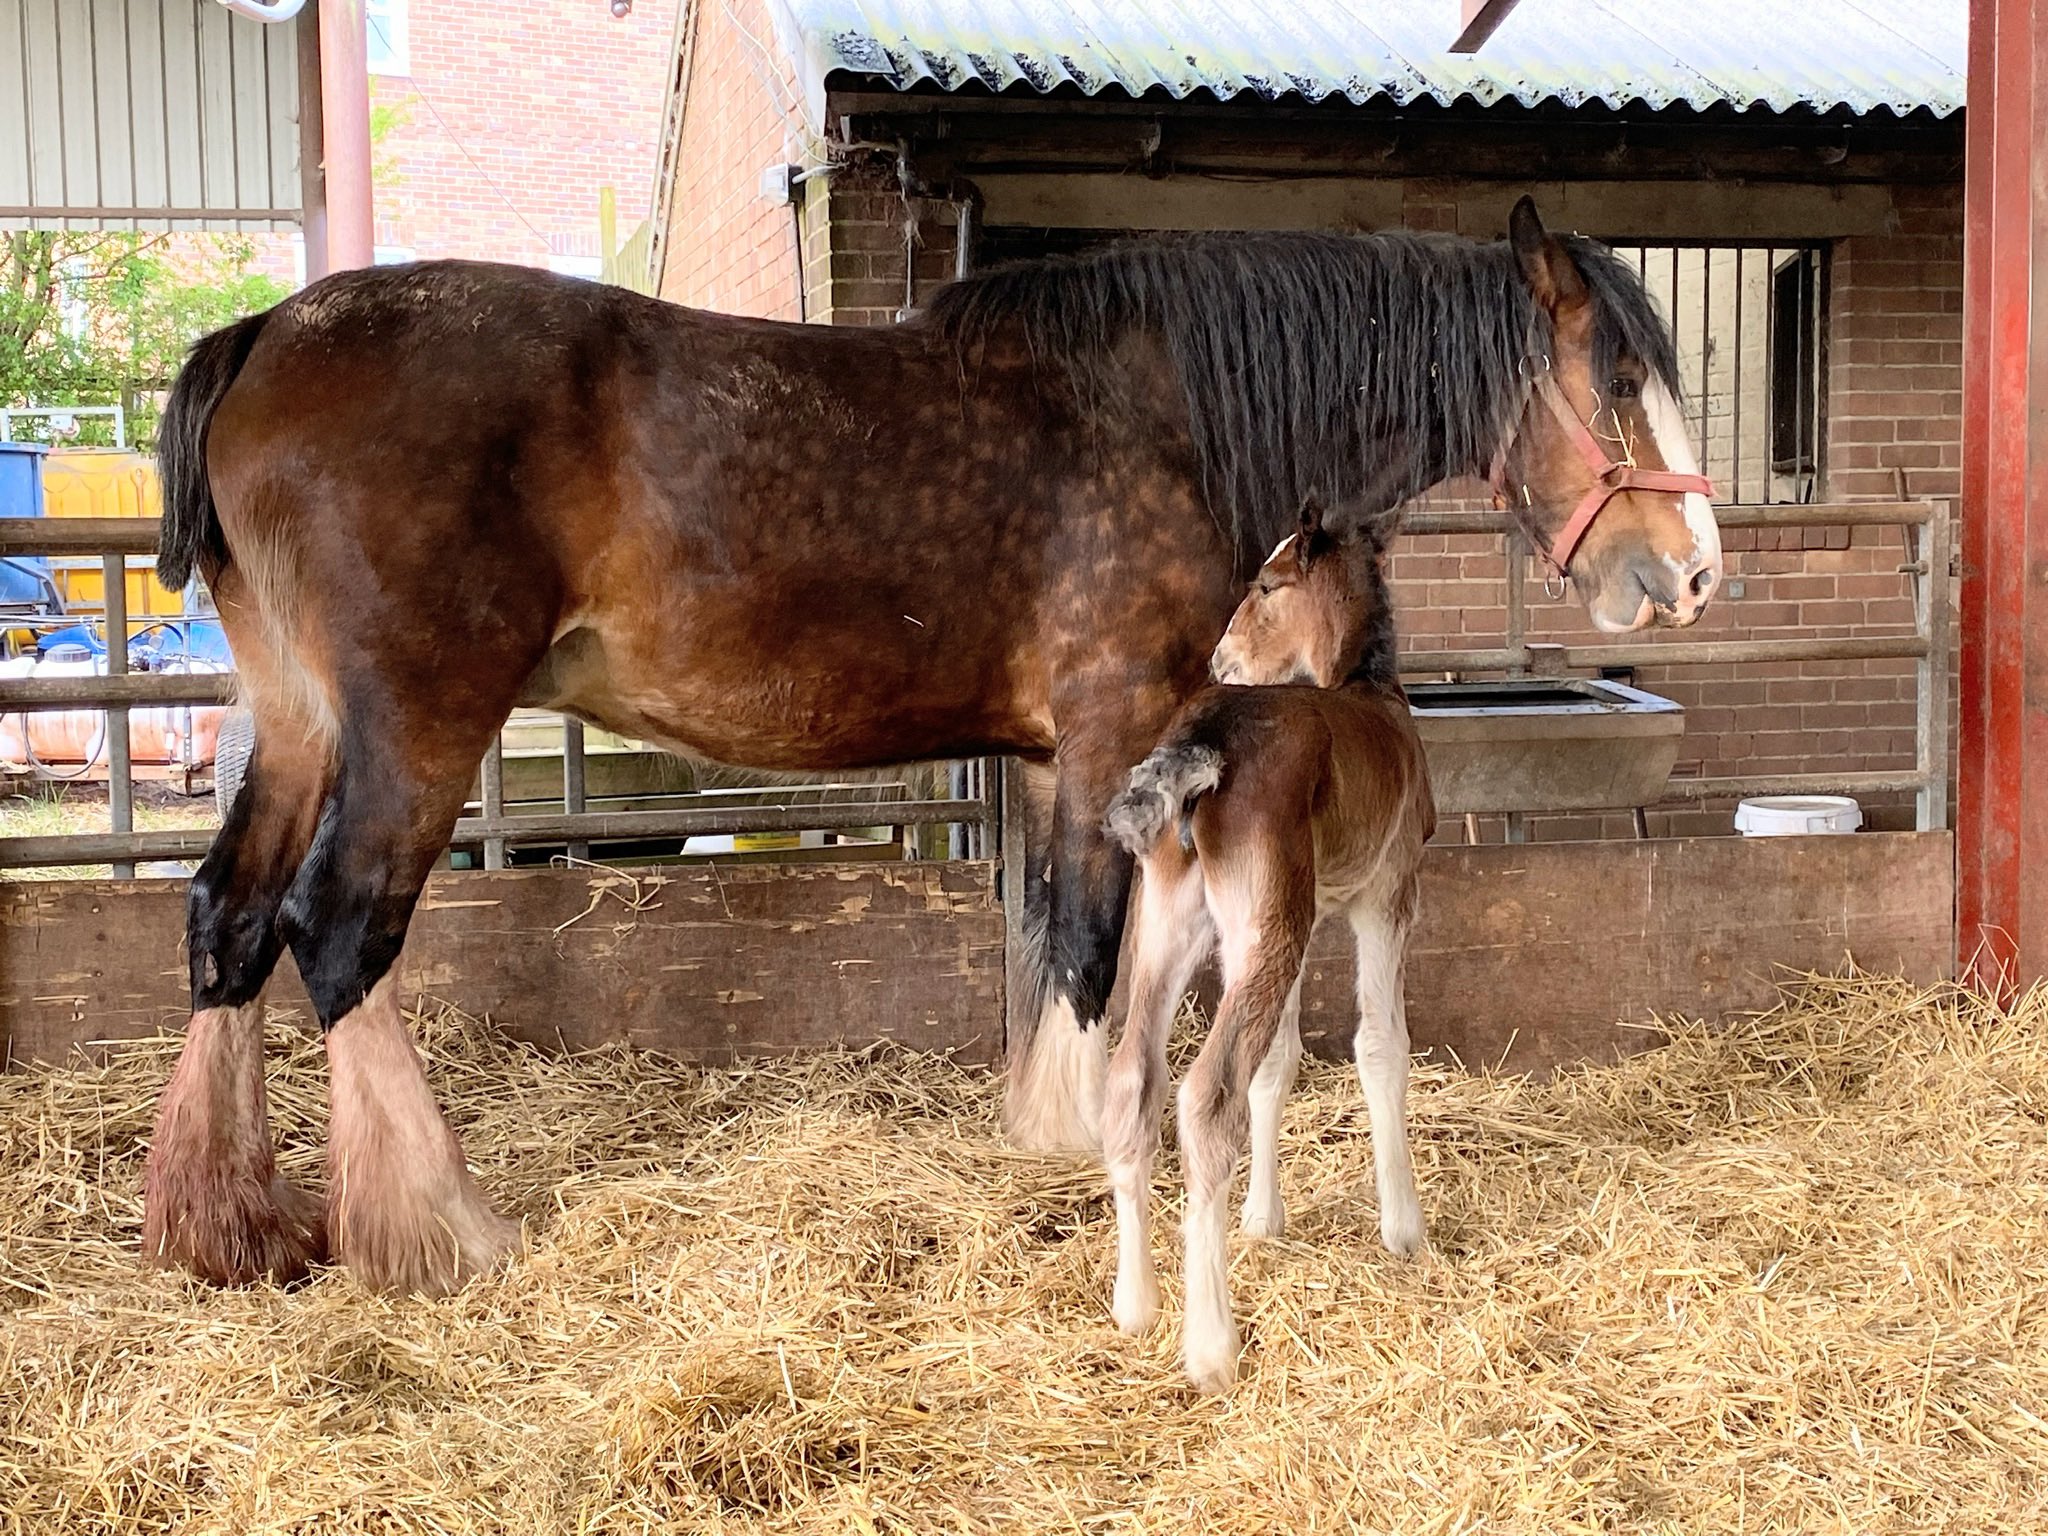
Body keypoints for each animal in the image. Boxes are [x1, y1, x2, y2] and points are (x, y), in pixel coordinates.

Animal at [140, 196, 1717, 1294]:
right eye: (1615, 379)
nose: (1694, 575)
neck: (1165, 411)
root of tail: (259, 339)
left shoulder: (1055, 760)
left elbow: (1051, 943)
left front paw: (1041, 1128)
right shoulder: (1112, 731)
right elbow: (1088, 949)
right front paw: (1082, 1143)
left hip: (295, 723)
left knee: (228, 919)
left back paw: (230, 1227)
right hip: (415, 725)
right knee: (339, 933)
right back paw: (438, 1230)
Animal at [1103, 496, 1430, 1394]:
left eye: (1263, 584)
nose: (1222, 658)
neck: (1365, 689)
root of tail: (1204, 736)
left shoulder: (1298, 919)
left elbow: (1279, 1062)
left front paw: (1264, 1218)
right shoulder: (1386, 897)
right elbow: (1379, 1045)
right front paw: (1404, 1230)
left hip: (1178, 924)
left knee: (1133, 1076)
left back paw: (1135, 1305)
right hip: (1259, 927)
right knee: (1205, 1094)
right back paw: (1211, 1346)